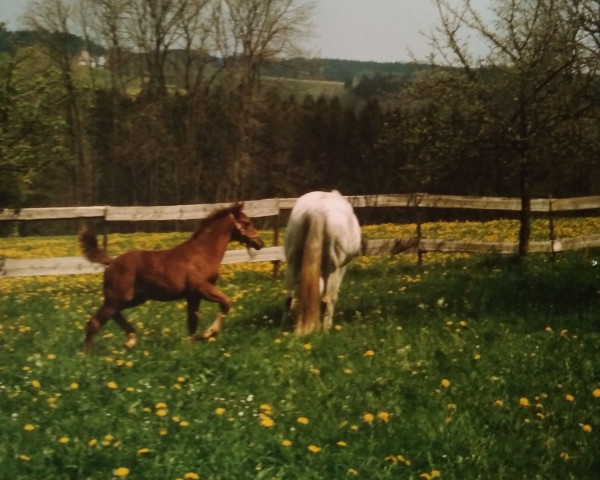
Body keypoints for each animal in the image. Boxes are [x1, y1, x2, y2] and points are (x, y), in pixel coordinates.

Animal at [282, 189, 360, 336]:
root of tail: (317, 210)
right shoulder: (342, 268)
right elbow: (333, 297)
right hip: (333, 267)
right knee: (326, 299)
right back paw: (325, 330)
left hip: (292, 262)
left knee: (289, 297)